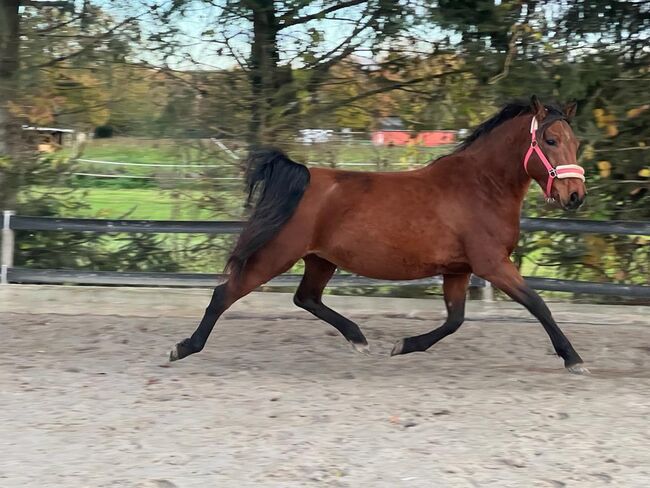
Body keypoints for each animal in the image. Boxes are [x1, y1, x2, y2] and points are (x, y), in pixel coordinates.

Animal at [168, 97, 588, 376]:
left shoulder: (459, 270)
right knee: (225, 294)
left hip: (320, 260)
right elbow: (538, 305)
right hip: (276, 254)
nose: (575, 196)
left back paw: (358, 338)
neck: (480, 187)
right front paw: (573, 359)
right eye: (550, 141)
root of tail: (303, 175)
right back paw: (183, 348)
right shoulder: (492, 264)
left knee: (306, 298)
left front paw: (404, 346)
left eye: (575, 142)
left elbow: (455, 320)